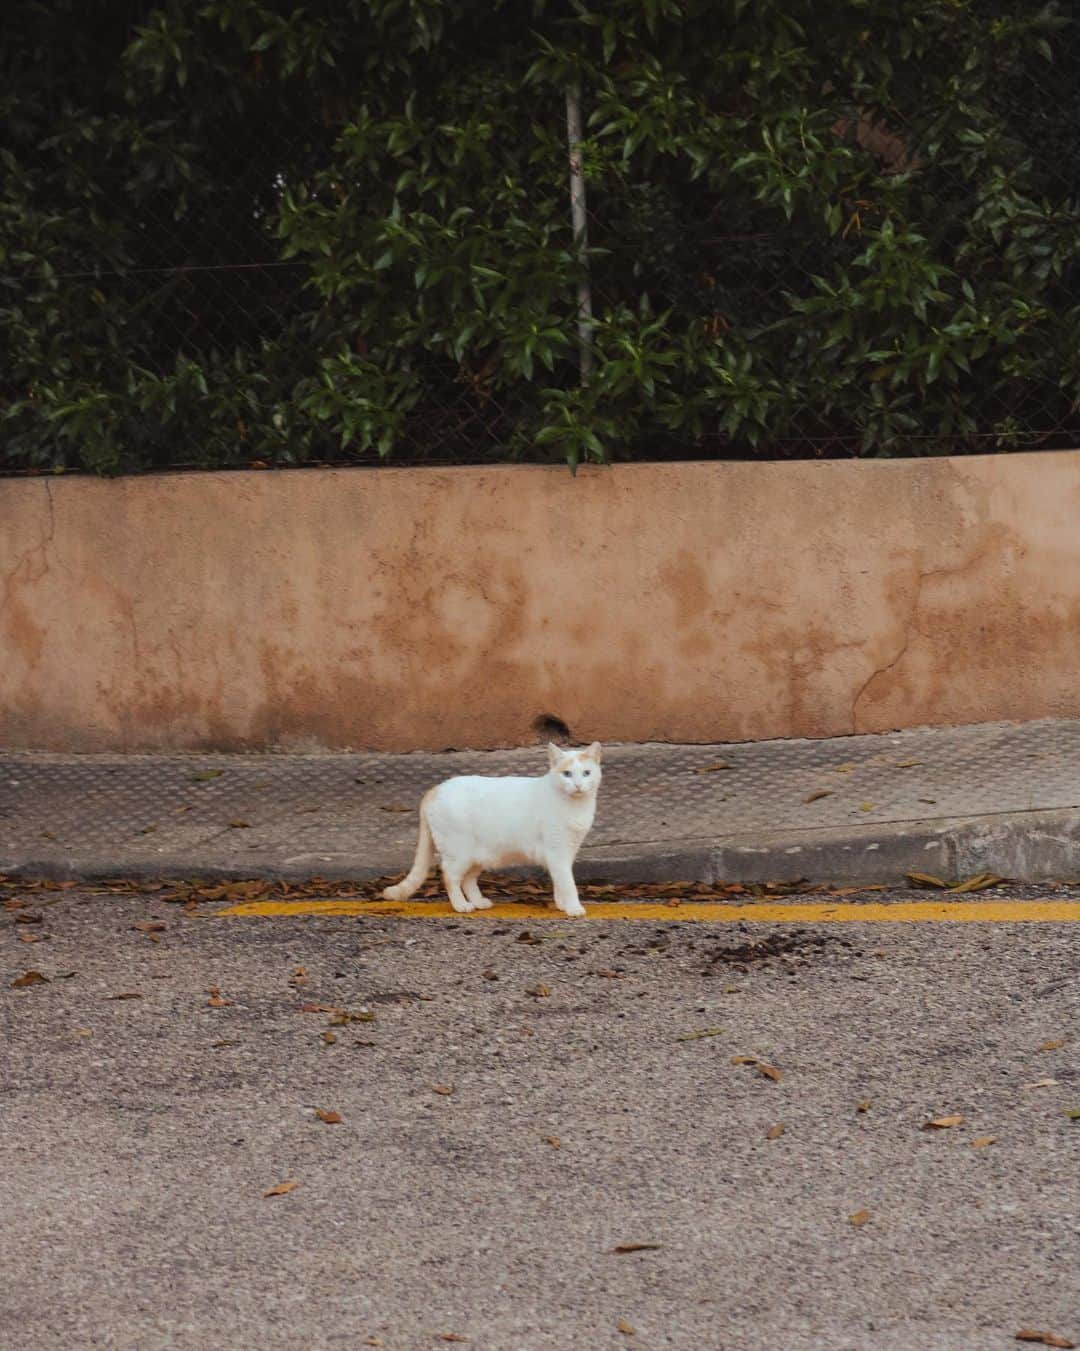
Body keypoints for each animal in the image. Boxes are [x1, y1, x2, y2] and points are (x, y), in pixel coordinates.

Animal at [381, 740, 602, 918]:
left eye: (586, 773)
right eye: (567, 774)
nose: (578, 785)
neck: (575, 806)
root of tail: (437, 787)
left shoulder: (566, 852)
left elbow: (560, 882)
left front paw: (562, 904)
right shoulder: (557, 852)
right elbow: (568, 883)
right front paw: (573, 907)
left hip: (479, 855)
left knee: (468, 880)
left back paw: (478, 902)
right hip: (459, 853)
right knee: (450, 877)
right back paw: (461, 905)